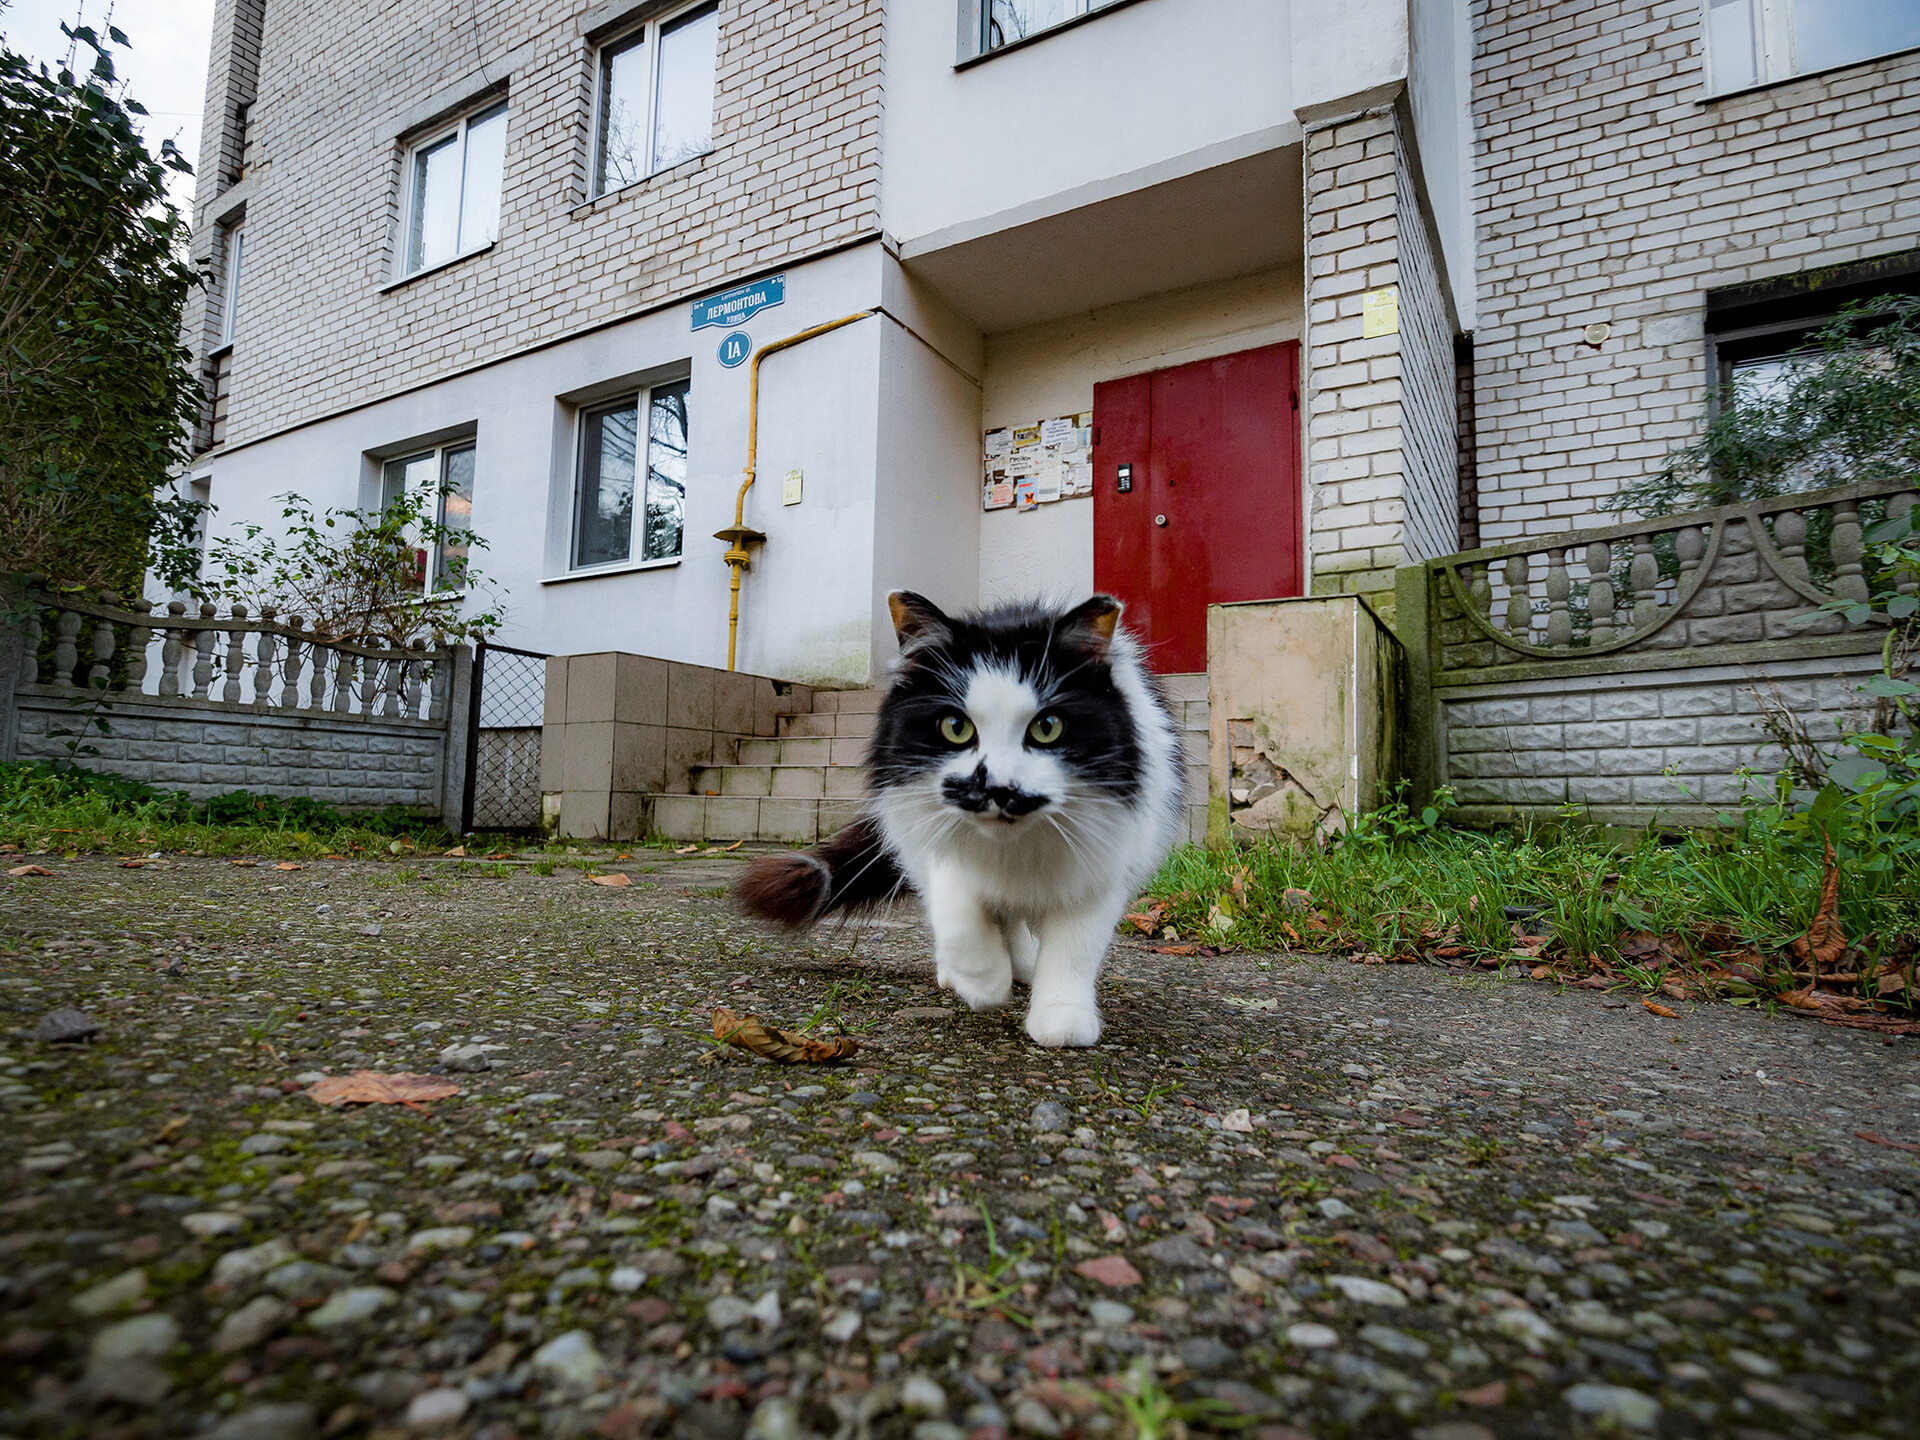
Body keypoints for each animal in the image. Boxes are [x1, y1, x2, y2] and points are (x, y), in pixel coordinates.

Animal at [733, 591, 1182, 1052]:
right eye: (955, 727)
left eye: (1047, 728)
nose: (999, 788)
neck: (1012, 849)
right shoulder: (926, 839)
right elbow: (958, 910)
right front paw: (984, 982)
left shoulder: (1105, 865)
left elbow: (1074, 948)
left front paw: (1061, 1018)